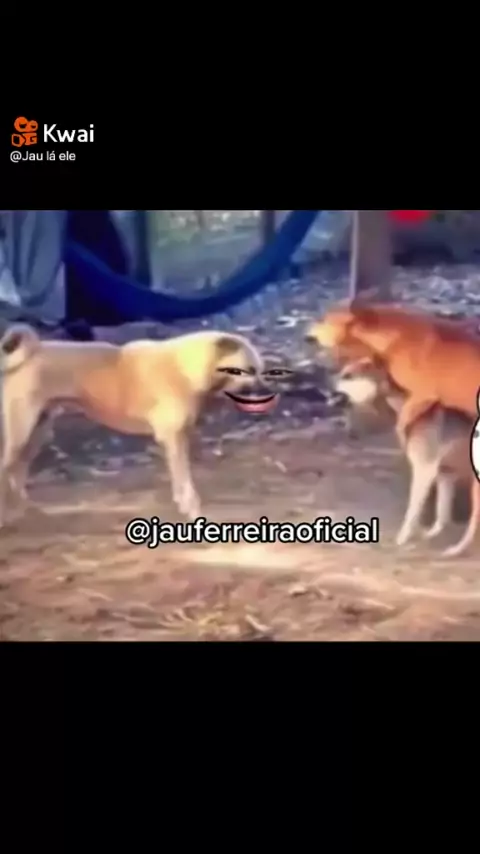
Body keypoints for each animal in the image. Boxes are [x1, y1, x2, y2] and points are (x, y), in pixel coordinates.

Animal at [0, 325, 275, 526]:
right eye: (248, 370)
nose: (269, 392)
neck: (189, 367)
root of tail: (34, 351)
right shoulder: (174, 439)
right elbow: (185, 481)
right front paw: (193, 510)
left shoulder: (176, 440)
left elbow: (180, 481)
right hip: (22, 432)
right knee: (7, 469)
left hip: (37, 433)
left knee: (17, 472)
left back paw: (29, 509)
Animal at [334, 356, 479, 557]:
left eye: (348, 376)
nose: (331, 392)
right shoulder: (445, 474)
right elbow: (441, 514)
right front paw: (429, 533)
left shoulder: (424, 469)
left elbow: (413, 509)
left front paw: (403, 538)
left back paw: (456, 549)